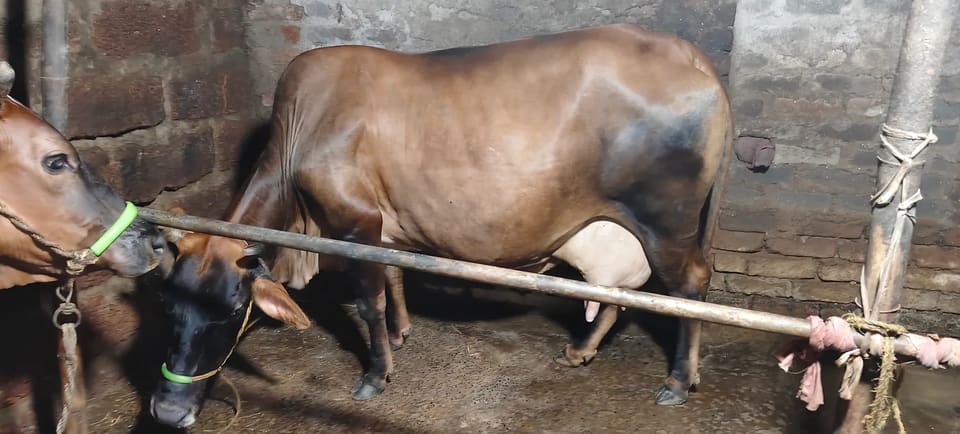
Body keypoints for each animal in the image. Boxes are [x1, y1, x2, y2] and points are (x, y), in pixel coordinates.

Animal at [150, 24, 732, 428]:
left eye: (232, 311)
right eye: (169, 306)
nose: (168, 412)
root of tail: (689, 55)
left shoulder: (355, 223)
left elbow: (368, 300)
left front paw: (374, 374)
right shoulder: (383, 229)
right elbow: (394, 277)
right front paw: (401, 333)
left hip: (666, 225)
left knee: (689, 286)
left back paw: (678, 380)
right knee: (620, 292)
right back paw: (580, 351)